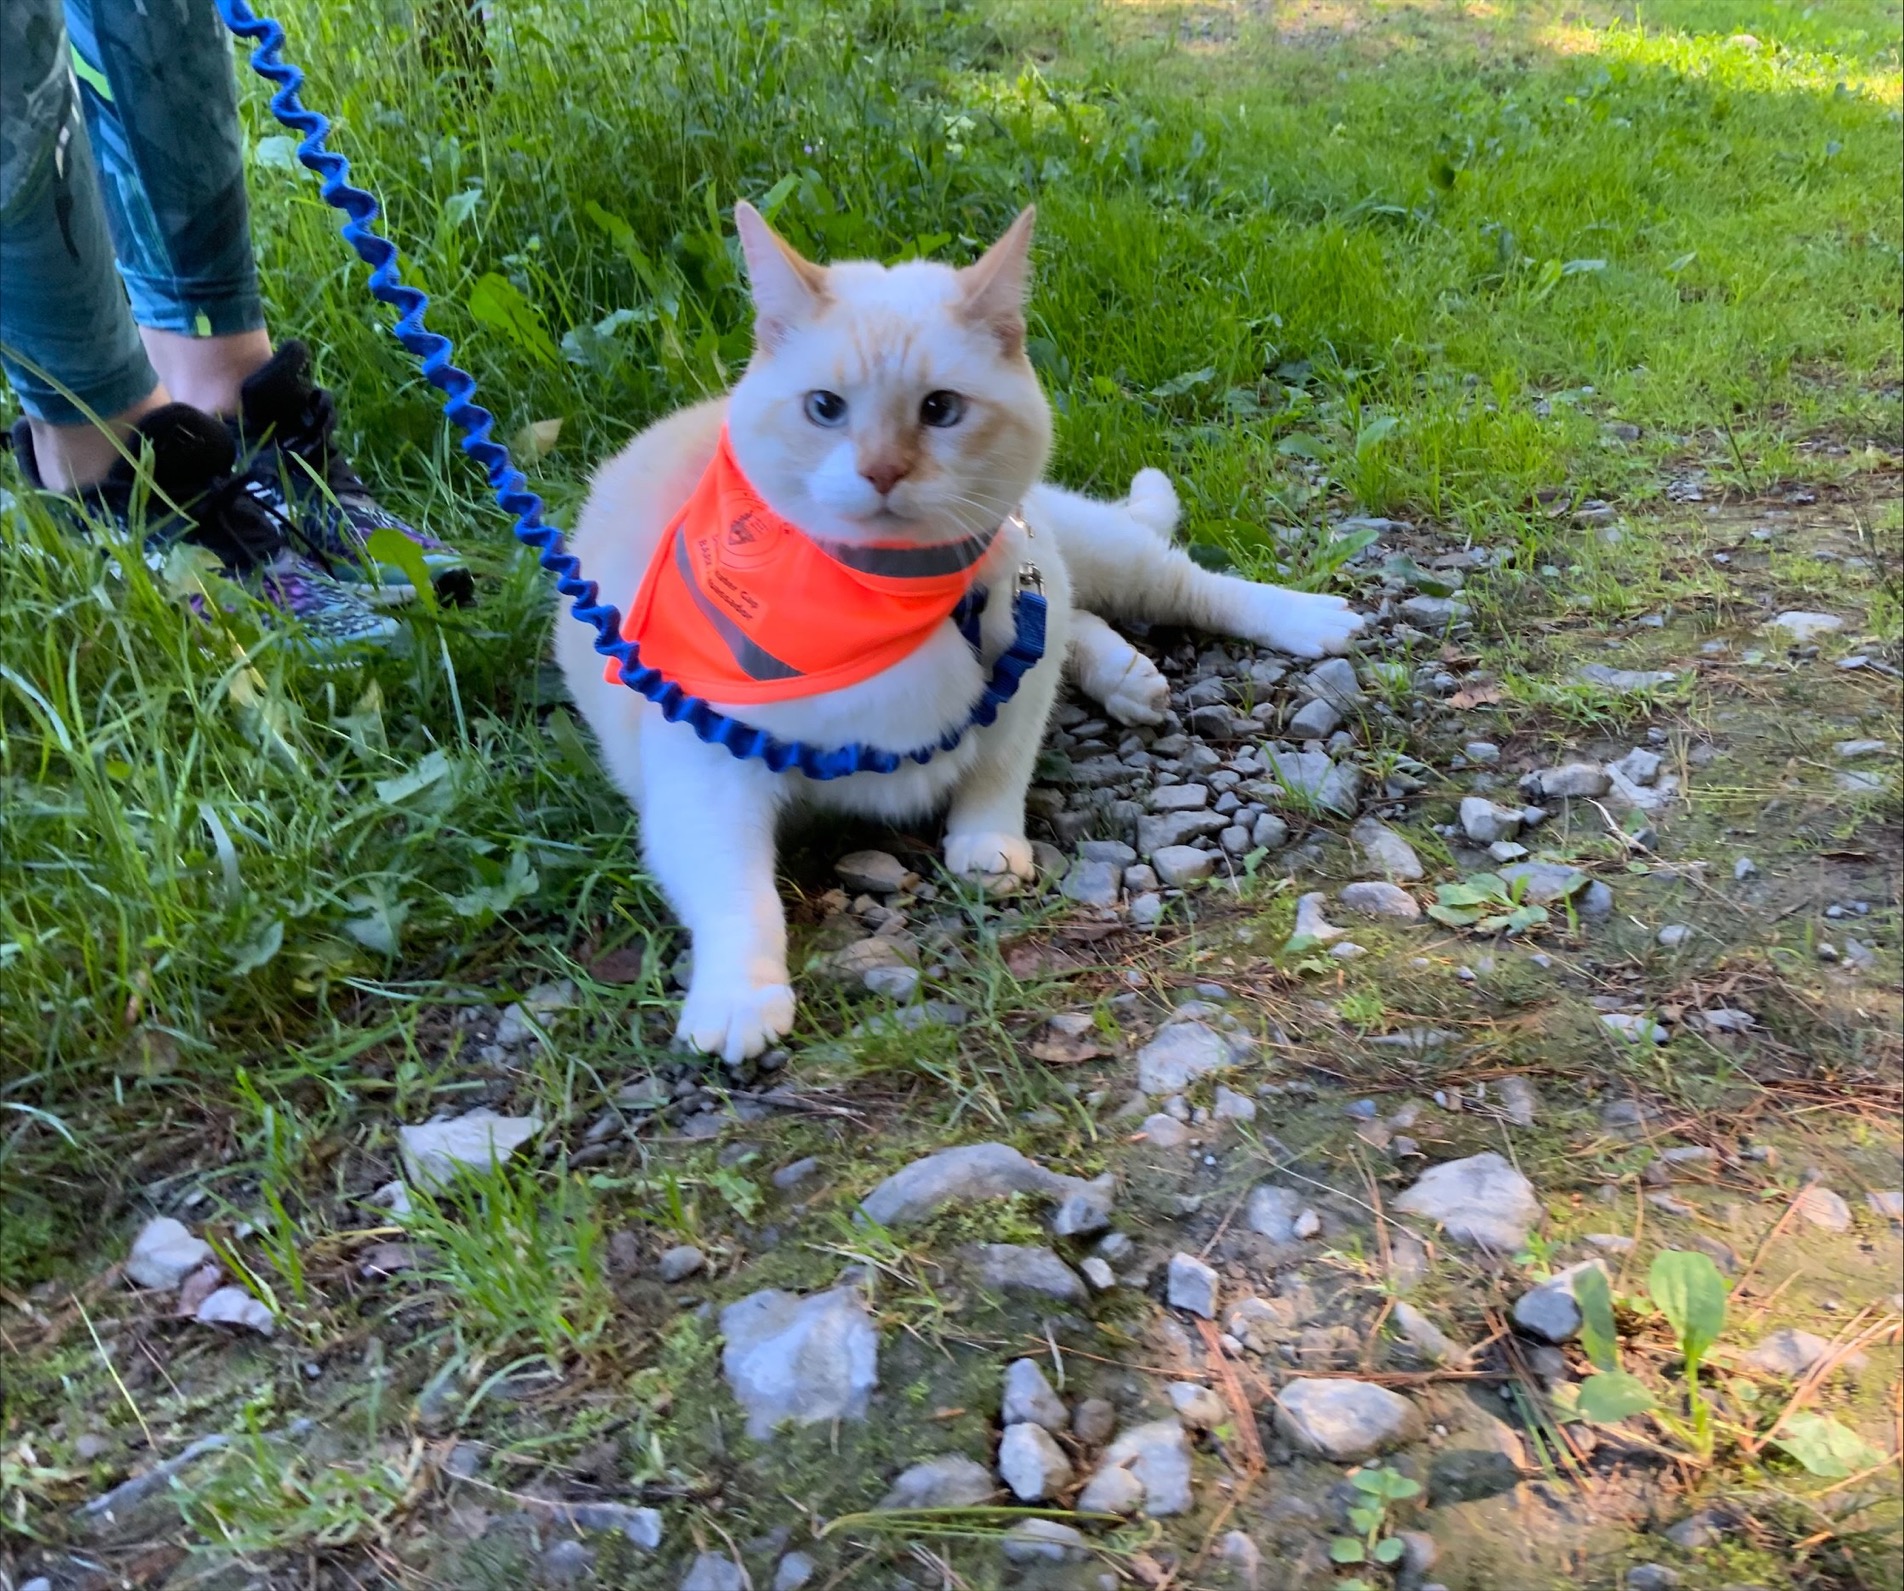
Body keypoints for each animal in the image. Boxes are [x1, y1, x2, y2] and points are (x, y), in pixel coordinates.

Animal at [555, 205, 1363, 1065]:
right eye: (825, 408)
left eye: (941, 409)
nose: (882, 471)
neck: (891, 596)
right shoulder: (701, 769)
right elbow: (737, 892)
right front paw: (739, 996)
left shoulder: (1022, 667)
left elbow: (999, 762)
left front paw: (985, 842)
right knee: (1085, 618)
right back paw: (1129, 677)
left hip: (1069, 541)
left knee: (1174, 584)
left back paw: (1300, 621)